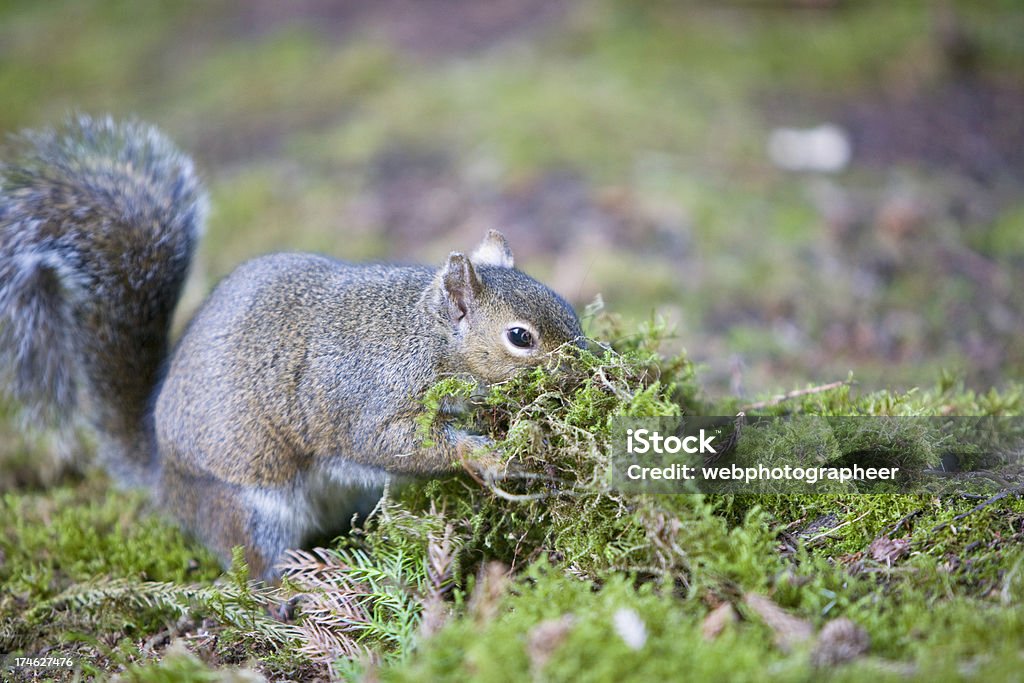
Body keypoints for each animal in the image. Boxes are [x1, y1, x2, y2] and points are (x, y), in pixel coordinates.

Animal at [0, 114, 585, 581]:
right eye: (520, 337)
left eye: (568, 307)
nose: (586, 364)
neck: (424, 337)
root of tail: (164, 478)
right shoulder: (371, 400)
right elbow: (391, 444)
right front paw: (489, 458)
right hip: (247, 503)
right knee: (250, 557)